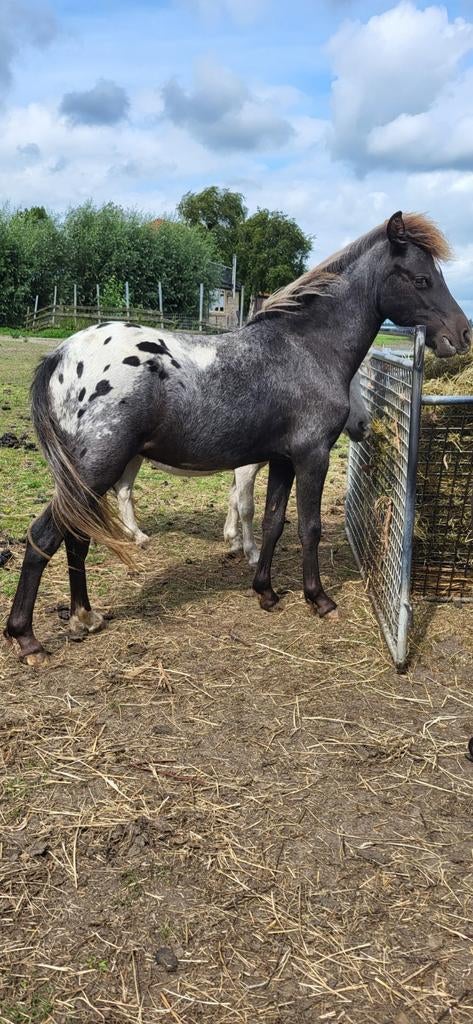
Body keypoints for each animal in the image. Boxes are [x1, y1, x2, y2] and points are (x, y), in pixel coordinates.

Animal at [113, 370, 370, 564]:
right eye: (346, 384)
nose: (363, 425)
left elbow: (233, 500)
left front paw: (232, 540)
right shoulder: (246, 469)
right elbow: (246, 508)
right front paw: (252, 552)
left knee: (123, 491)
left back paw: (130, 532)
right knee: (123, 492)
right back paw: (138, 536)